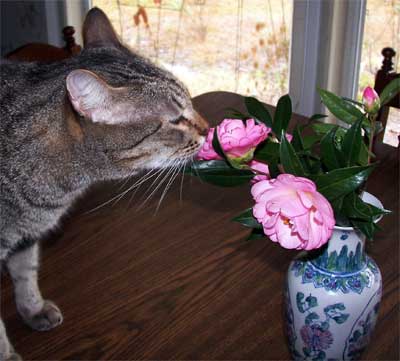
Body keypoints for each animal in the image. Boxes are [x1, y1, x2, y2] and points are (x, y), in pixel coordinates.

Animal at [0, 8, 209, 360]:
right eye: (175, 119)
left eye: (192, 101)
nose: (209, 129)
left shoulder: (26, 237)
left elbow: (25, 272)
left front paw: (33, 308)